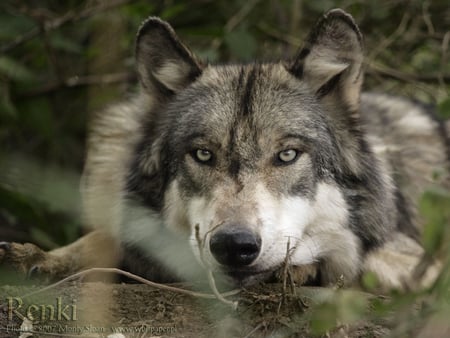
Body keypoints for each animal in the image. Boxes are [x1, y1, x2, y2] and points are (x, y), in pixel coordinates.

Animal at [0, 9, 450, 290]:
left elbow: (359, 259)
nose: (234, 245)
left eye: (287, 155)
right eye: (203, 155)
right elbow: (104, 239)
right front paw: (37, 257)